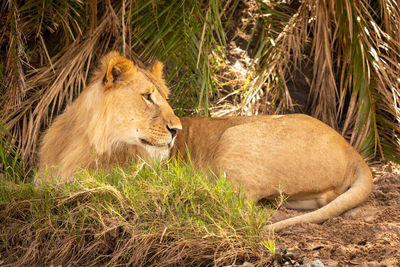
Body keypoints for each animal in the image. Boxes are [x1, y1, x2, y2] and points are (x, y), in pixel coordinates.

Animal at [37, 52, 372, 232]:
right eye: (147, 97)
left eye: (166, 98)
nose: (177, 130)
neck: (84, 141)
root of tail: (353, 150)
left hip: (235, 136)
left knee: (230, 201)